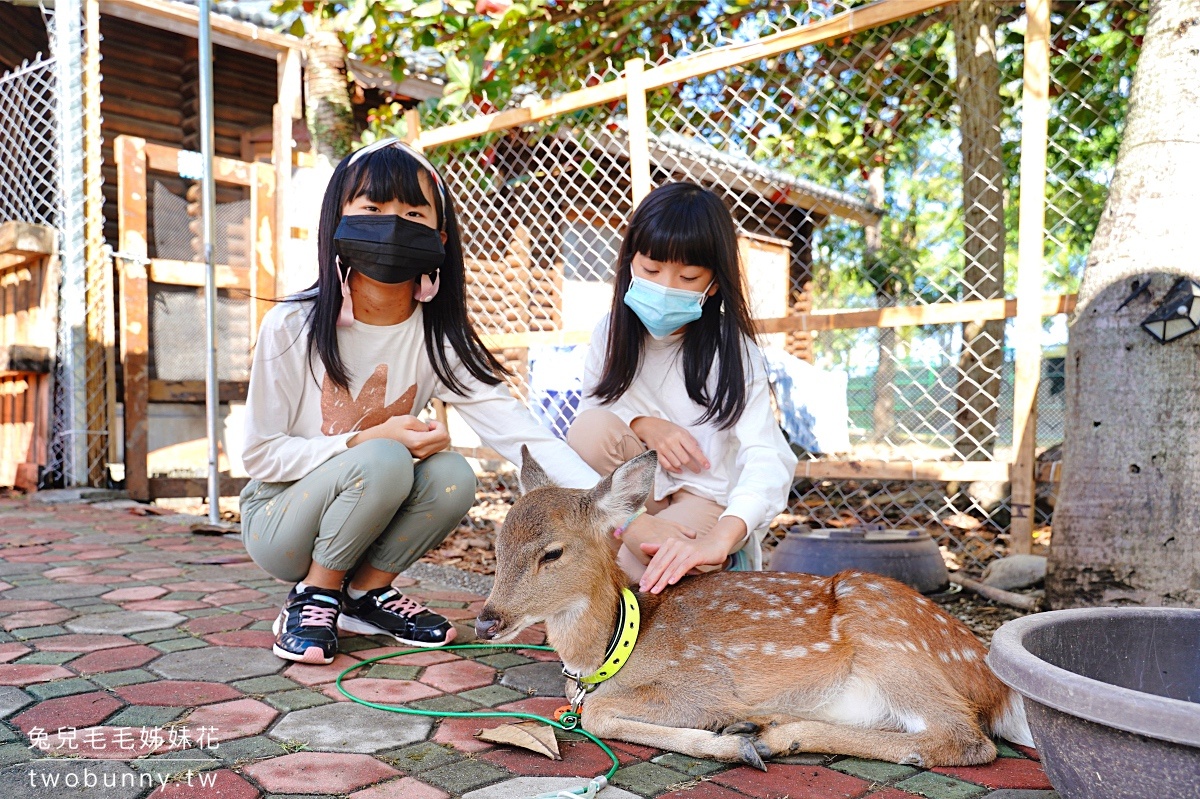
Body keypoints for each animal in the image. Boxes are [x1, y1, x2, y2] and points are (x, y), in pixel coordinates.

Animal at [472, 448, 1036, 767]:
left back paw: (770, 735)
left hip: (892, 642)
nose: (487, 618)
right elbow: (591, 714)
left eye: (552, 552)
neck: (611, 652)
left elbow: (599, 715)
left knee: (965, 741)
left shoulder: (700, 684)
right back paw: (767, 727)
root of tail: (996, 683)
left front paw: (727, 738)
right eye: (497, 544)